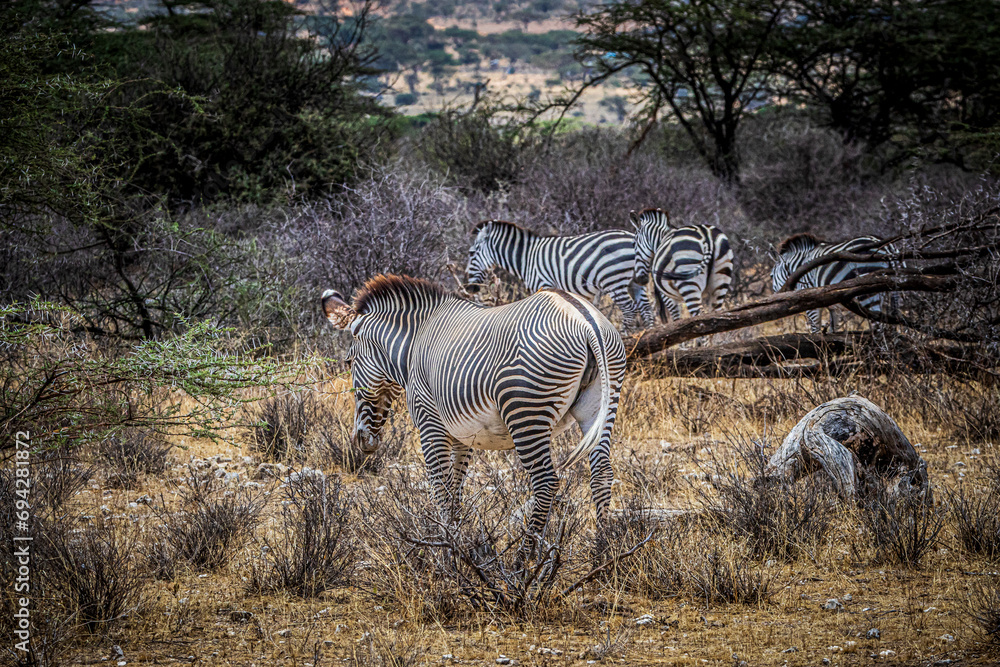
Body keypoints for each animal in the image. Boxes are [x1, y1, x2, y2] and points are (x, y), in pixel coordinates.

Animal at [321, 274, 626, 538]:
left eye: (348, 362)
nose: (360, 440)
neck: (413, 345)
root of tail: (585, 321)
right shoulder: (463, 434)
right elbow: (455, 489)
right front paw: (459, 541)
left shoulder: (430, 425)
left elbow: (440, 490)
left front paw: (446, 551)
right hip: (602, 405)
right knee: (602, 474)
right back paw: (601, 551)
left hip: (526, 413)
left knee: (545, 483)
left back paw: (524, 560)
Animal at [464, 220, 654, 331]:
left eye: (471, 253)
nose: (471, 288)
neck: (527, 257)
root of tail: (634, 238)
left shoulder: (543, 283)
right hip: (635, 281)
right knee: (646, 308)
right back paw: (649, 339)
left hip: (614, 279)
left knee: (629, 309)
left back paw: (626, 337)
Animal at [771, 233, 900, 333]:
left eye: (771, 276)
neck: (799, 266)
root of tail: (886, 248)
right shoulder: (834, 306)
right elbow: (833, 331)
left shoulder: (809, 300)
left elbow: (815, 332)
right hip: (893, 290)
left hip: (868, 291)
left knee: (879, 327)